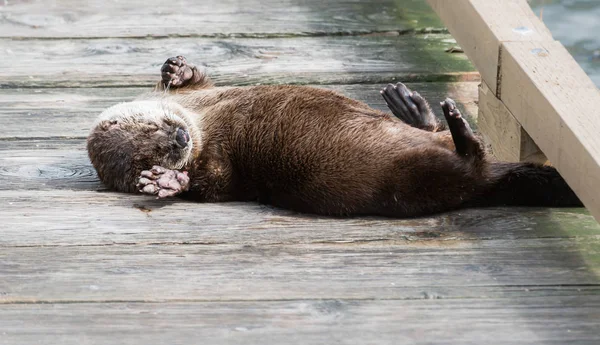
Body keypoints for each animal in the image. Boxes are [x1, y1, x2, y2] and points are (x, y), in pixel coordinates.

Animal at [86, 55, 584, 216]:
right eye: (146, 158)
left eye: (152, 128)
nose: (177, 143)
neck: (205, 124)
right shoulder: (221, 168)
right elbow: (215, 185)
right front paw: (169, 183)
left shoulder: (206, 97)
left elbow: (198, 81)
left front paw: (177, 69)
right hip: (423, 178)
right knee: (471, 162)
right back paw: (457, 129)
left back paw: (412, 107)